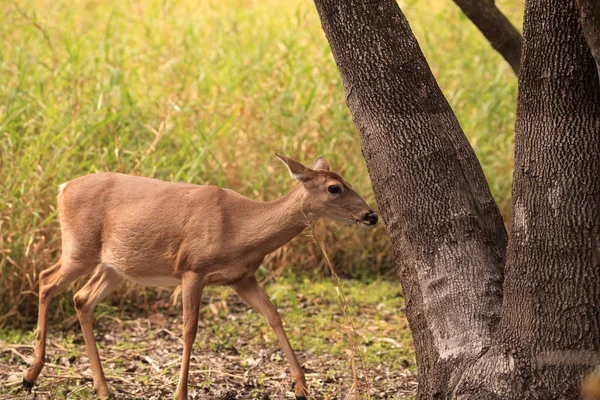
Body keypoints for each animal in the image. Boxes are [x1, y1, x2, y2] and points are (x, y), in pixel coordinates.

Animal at [22, 154, 380, 400]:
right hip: (79, 248)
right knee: (45, 278)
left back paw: (102, 388)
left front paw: (301, 387)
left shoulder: (241, 278)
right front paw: (180, 393)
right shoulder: (192, 269)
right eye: (334, 187)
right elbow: (189, 330)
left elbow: (273, 315)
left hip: (115, 266)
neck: (239, 228)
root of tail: (63, 187)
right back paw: (30, 374)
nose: (371, 215)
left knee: (81, 298)